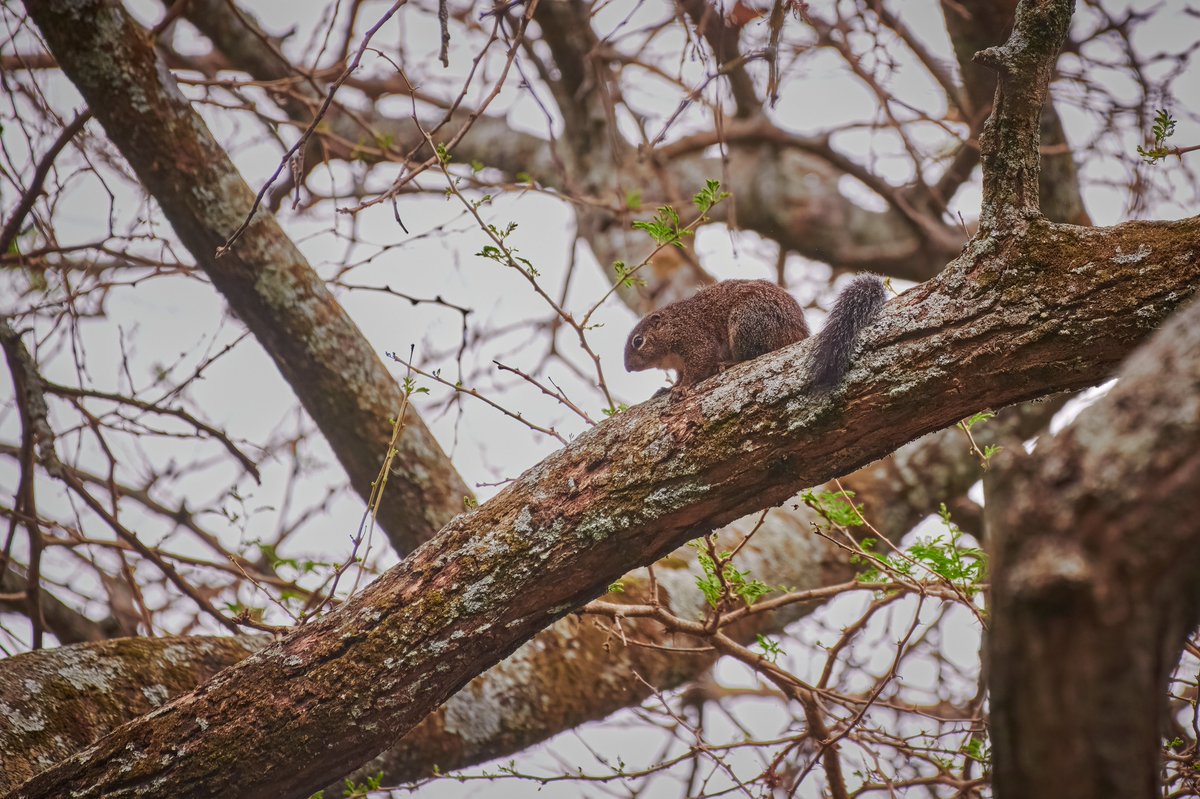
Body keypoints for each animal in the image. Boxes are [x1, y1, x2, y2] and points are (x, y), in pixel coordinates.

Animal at [624, 275, 885, 396]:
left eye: (638, 341)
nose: (627, 368)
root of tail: (797, 334)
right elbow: (680, 375)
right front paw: (669, 388)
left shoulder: (694, 338)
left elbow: (700, 362)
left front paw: (682, 388)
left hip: (747, 323)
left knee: (753, 354)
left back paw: (730, 363)